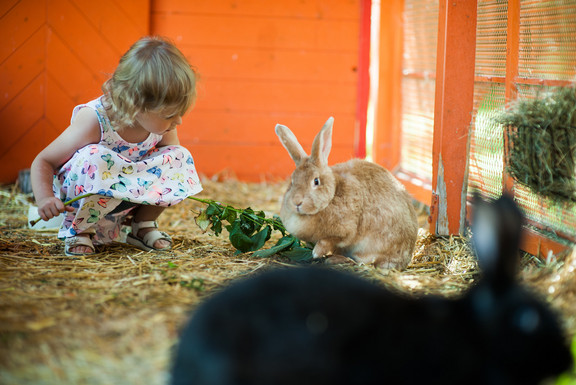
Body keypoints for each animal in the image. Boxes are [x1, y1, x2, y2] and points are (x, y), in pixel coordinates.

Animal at [276, 115, 418, 268]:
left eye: (316, 181)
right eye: (292, 181)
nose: (296, 202)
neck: (331, 197)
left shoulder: (346, 231)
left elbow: (329, 240)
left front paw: (316, 252)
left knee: (365, 263)